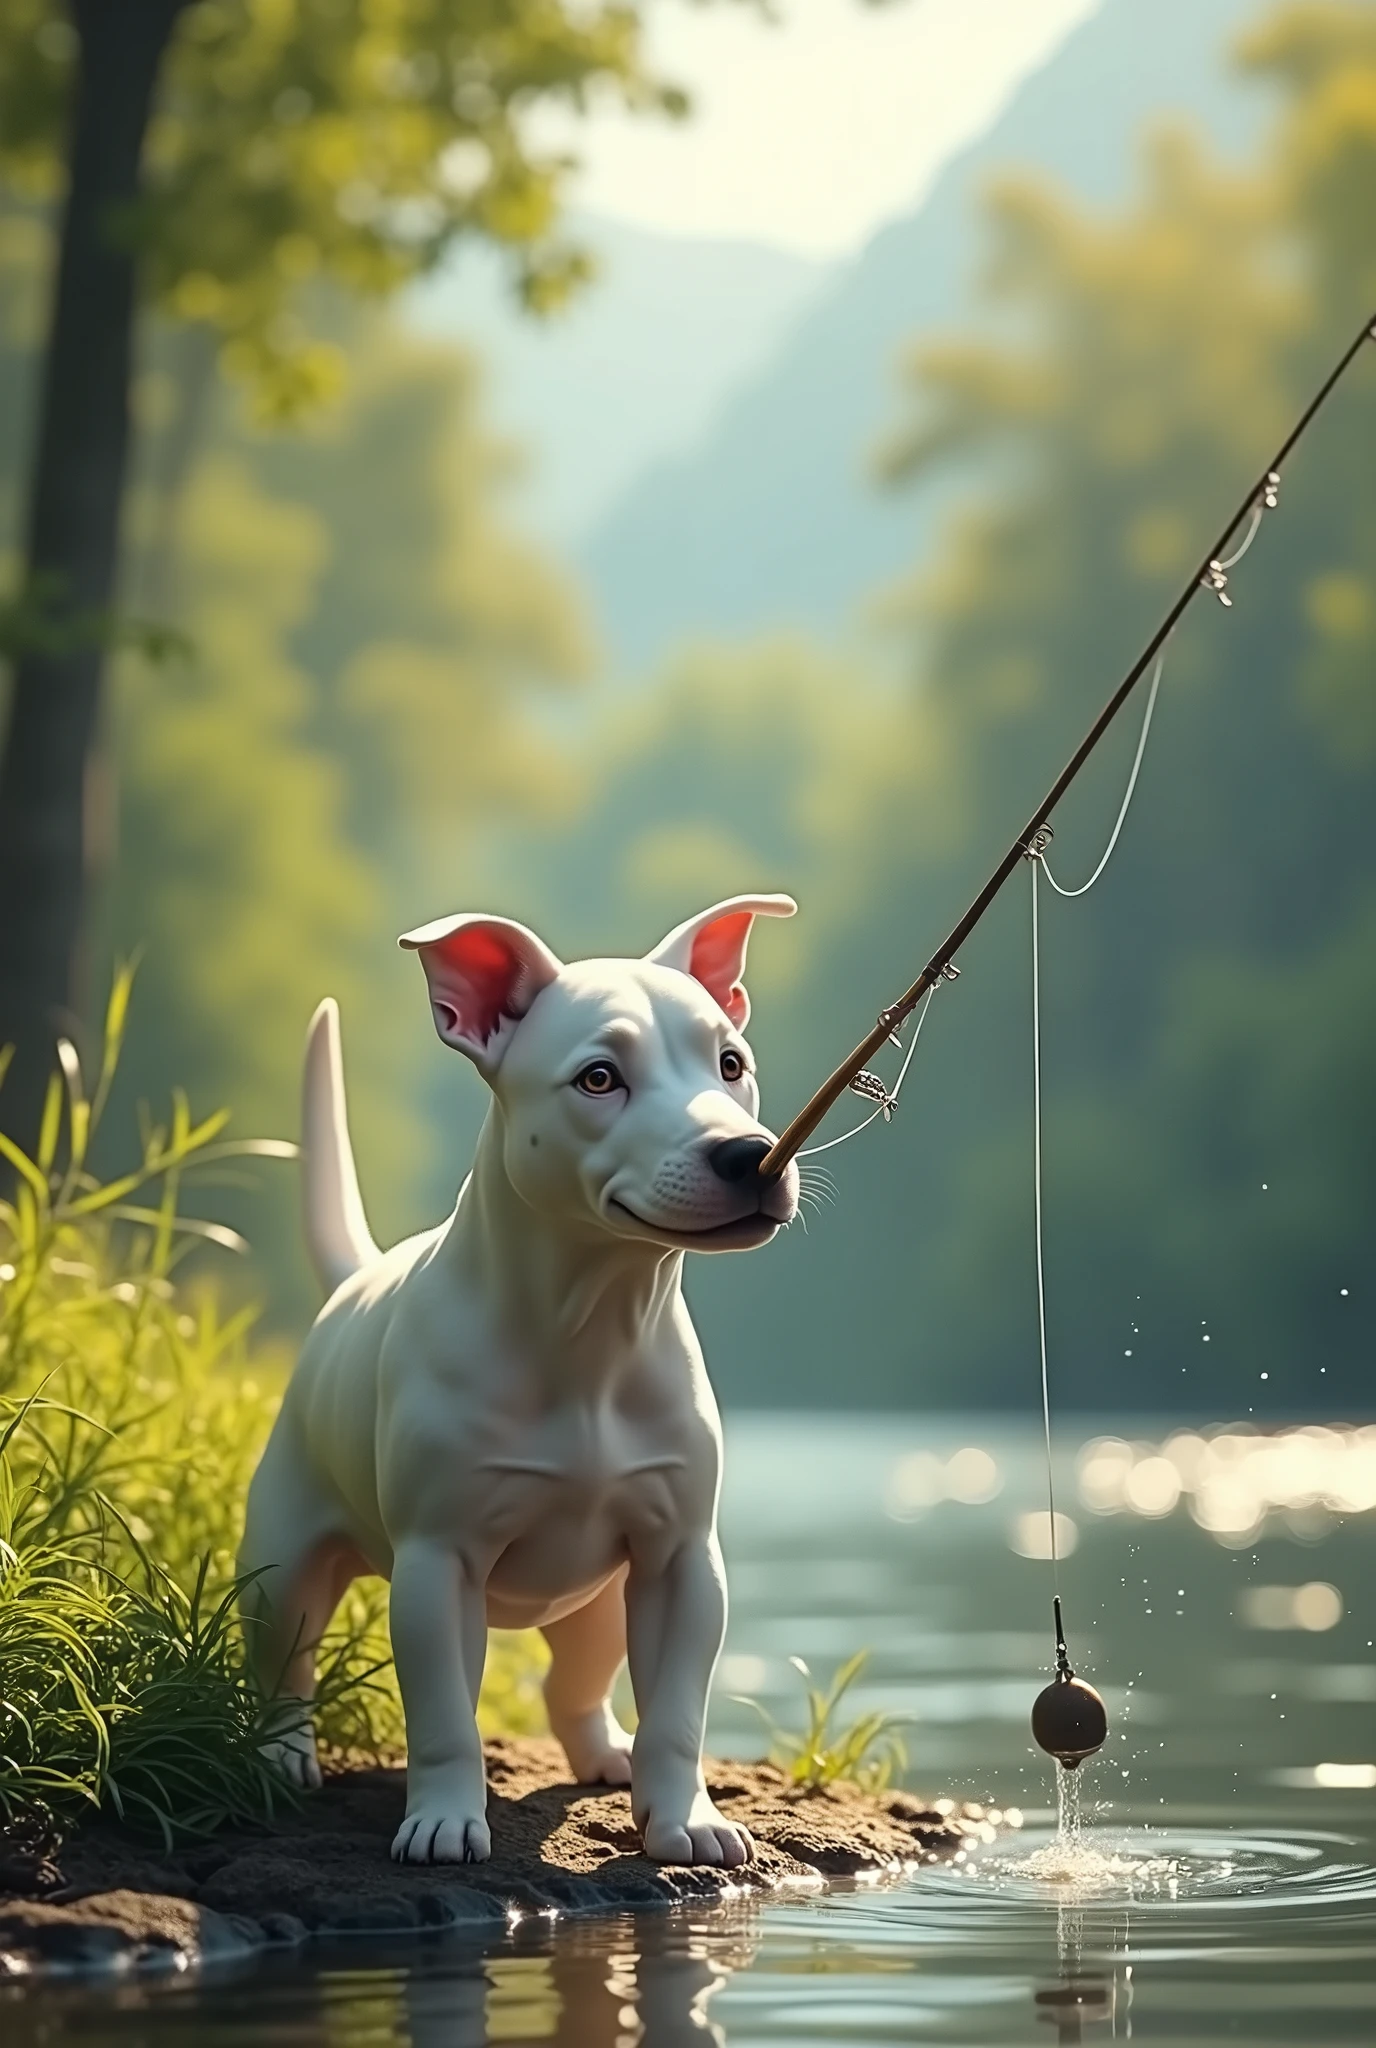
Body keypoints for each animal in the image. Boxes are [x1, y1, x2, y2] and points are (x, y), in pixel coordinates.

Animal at [236, 888, 794, 1867]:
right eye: (599, 1079)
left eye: (731, 1064)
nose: (748, 1153)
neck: (592, 1325)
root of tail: (354, 1279)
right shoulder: (437, 1563)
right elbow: (444, 1718)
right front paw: (443, 1821)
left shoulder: (681, 1559)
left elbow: (679, 1709)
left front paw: (685, 1818)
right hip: (282, 1559)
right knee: (285, 1659)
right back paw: (281, 1755)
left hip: (598, 1603)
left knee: (577, 1681)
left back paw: (606, 1753)